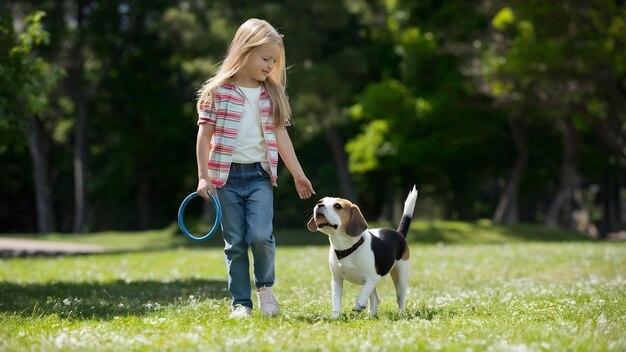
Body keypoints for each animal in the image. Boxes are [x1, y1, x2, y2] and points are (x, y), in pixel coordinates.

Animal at [306, 187, 416, 320]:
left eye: (337, 206)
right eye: (320, 201)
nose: (319, 205)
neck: (346, 248)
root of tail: (399, 233)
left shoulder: (373, 277)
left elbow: (363, 293)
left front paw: (358, 305)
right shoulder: (336, 280)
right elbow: (336, 300)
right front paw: (335, 317)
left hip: (400, 276)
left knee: (400, 299)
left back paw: (400, 316)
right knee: (375, 299)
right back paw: (371, 316)